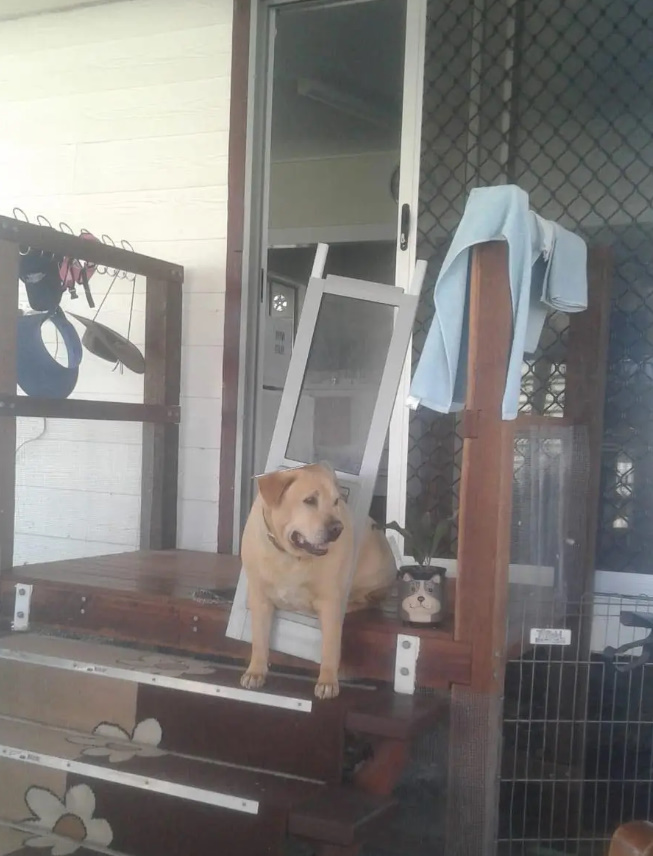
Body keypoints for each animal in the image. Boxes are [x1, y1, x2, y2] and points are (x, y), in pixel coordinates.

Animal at [238, 464, 392, 700]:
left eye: (336, 501)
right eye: (310, 500)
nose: (338, 528)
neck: (291, 556)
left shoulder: (329, 602)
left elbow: (330, 646)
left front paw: (328, 681)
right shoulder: (260, 599)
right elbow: (260, 640)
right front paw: (256, 671)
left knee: (369, 599)